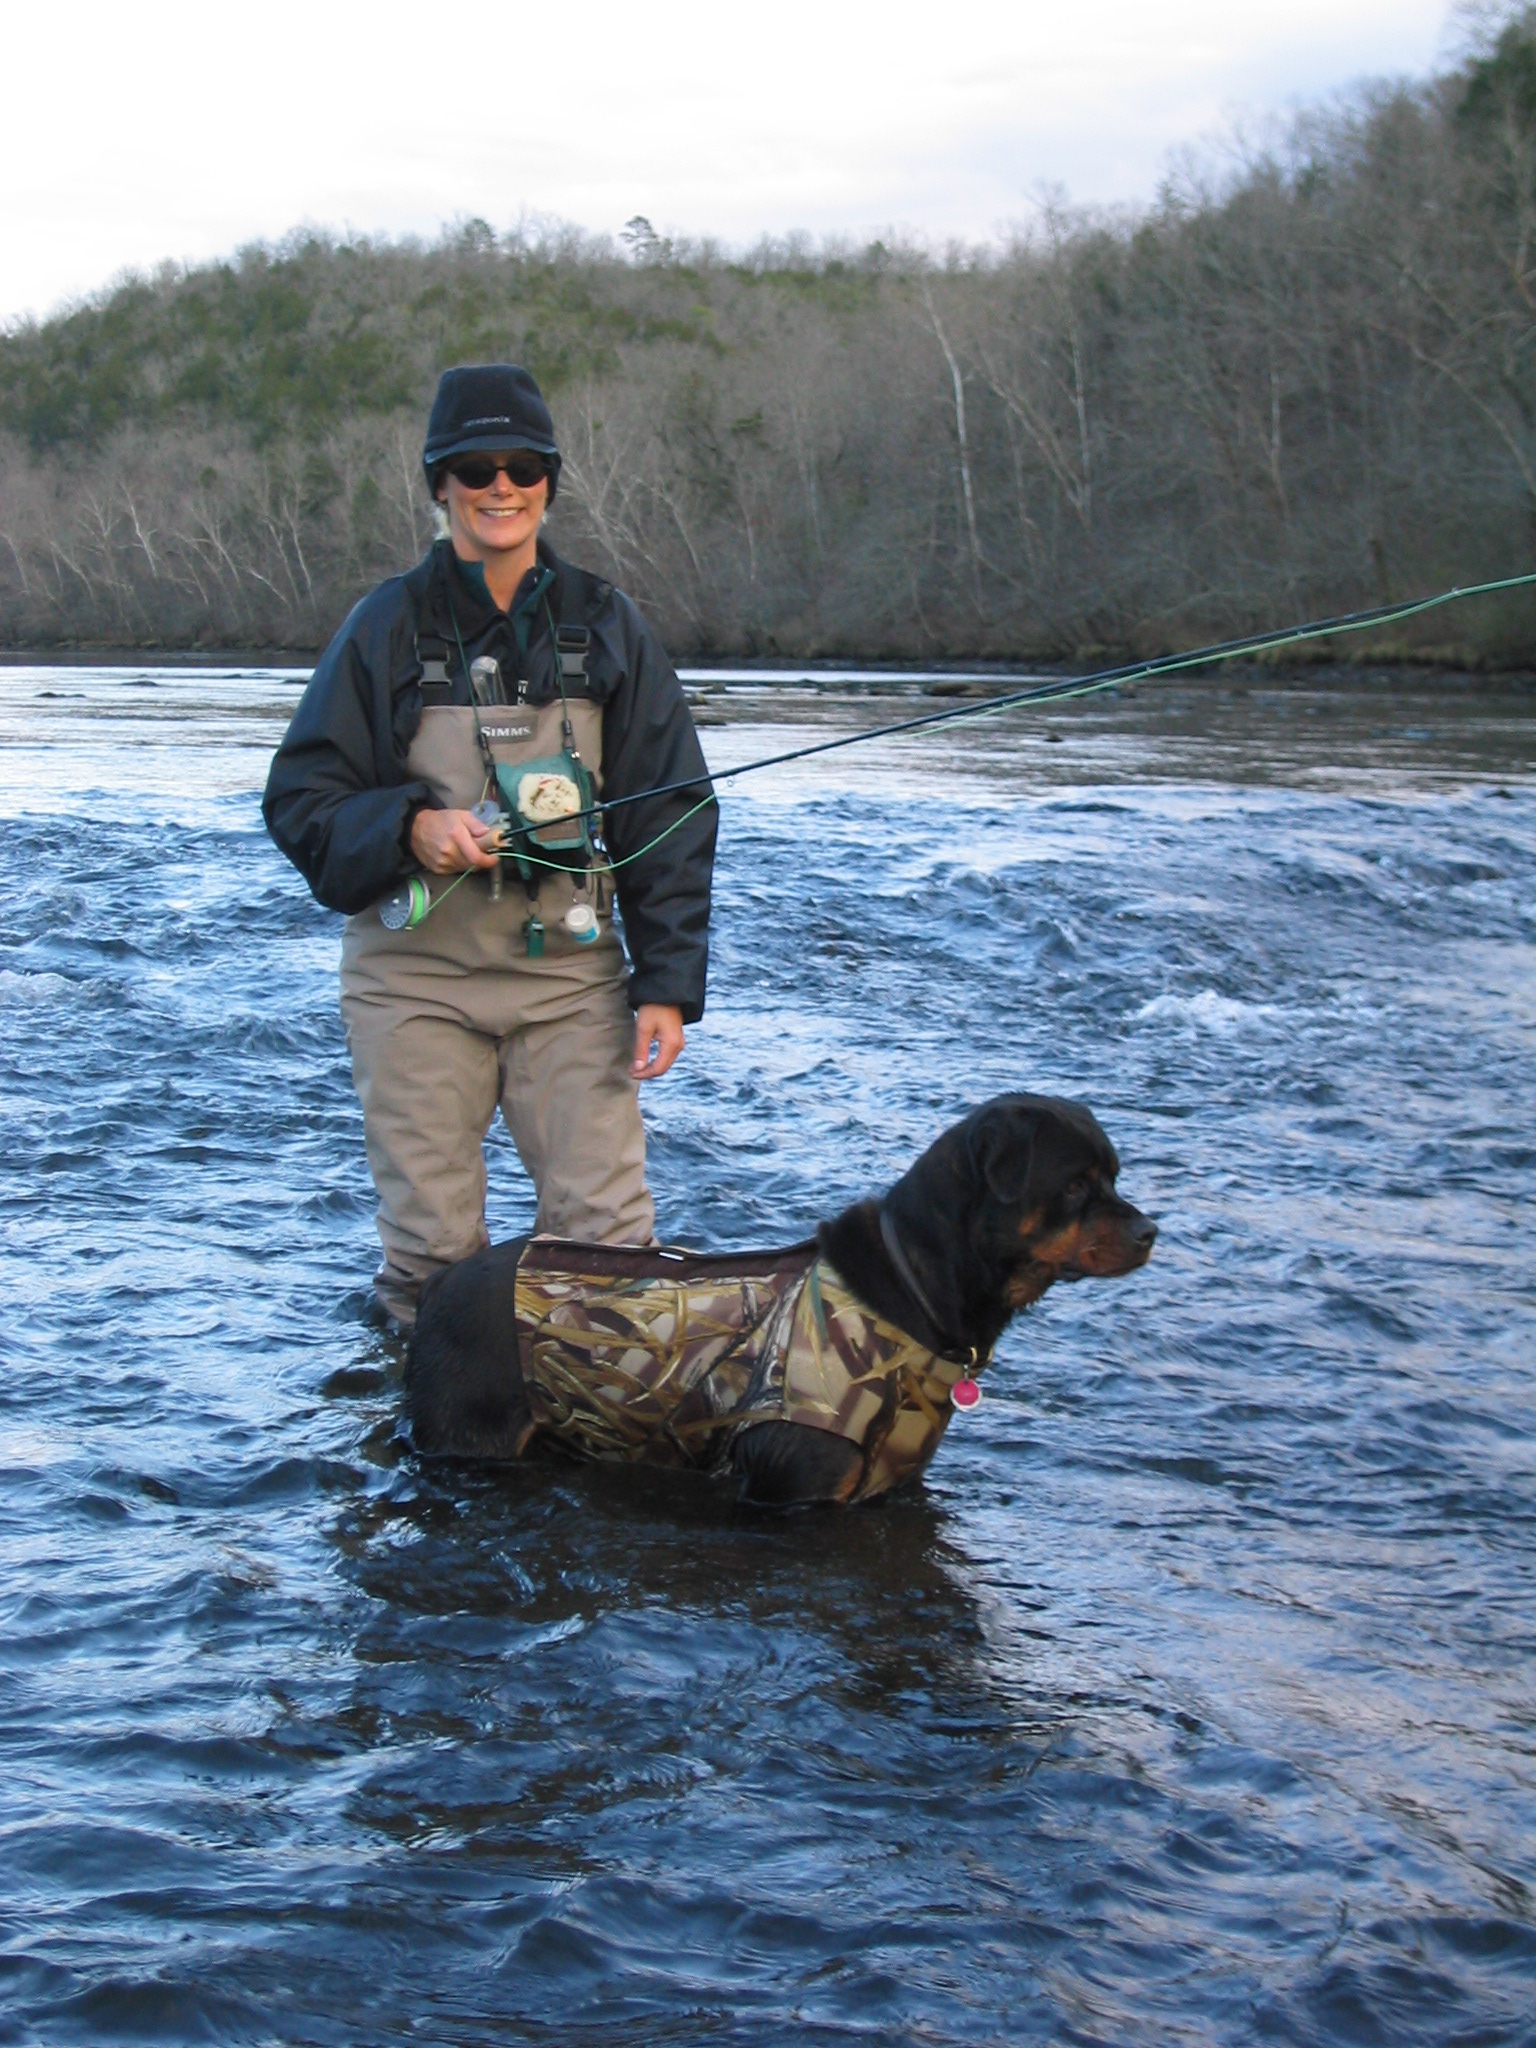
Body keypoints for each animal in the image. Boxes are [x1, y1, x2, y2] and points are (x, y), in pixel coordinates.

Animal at [405, 1093, 1156, 1505]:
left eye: (1114, 1176)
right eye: (1073, 1185)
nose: (1150, 1231)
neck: (912, 1292)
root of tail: (441, 1284)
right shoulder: (796, 1487)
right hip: (469, 1428)